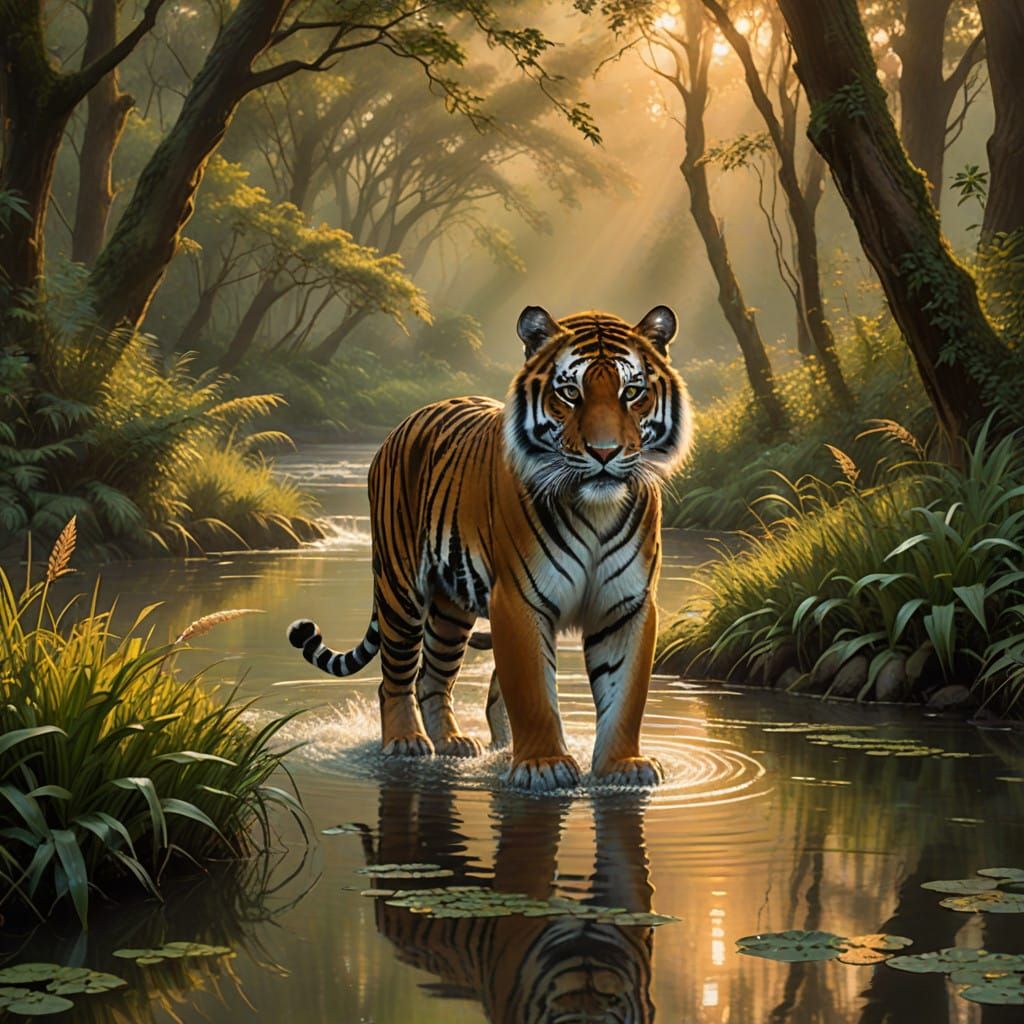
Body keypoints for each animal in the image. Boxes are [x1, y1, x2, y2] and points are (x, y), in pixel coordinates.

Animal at [287, 304, 692, 792]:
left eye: (632, 392)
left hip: (450, 609)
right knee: (396, 677)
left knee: (432, 679)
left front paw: (622, 766)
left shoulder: (626, 605)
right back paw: (405, 742)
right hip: (401, 588)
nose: (604, 452)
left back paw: (453, 742)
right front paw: (543, 766)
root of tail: (409, 418)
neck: (596, 509)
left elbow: (625, 694)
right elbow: (533, 691)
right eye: (570, 393)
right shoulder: (519, 600)